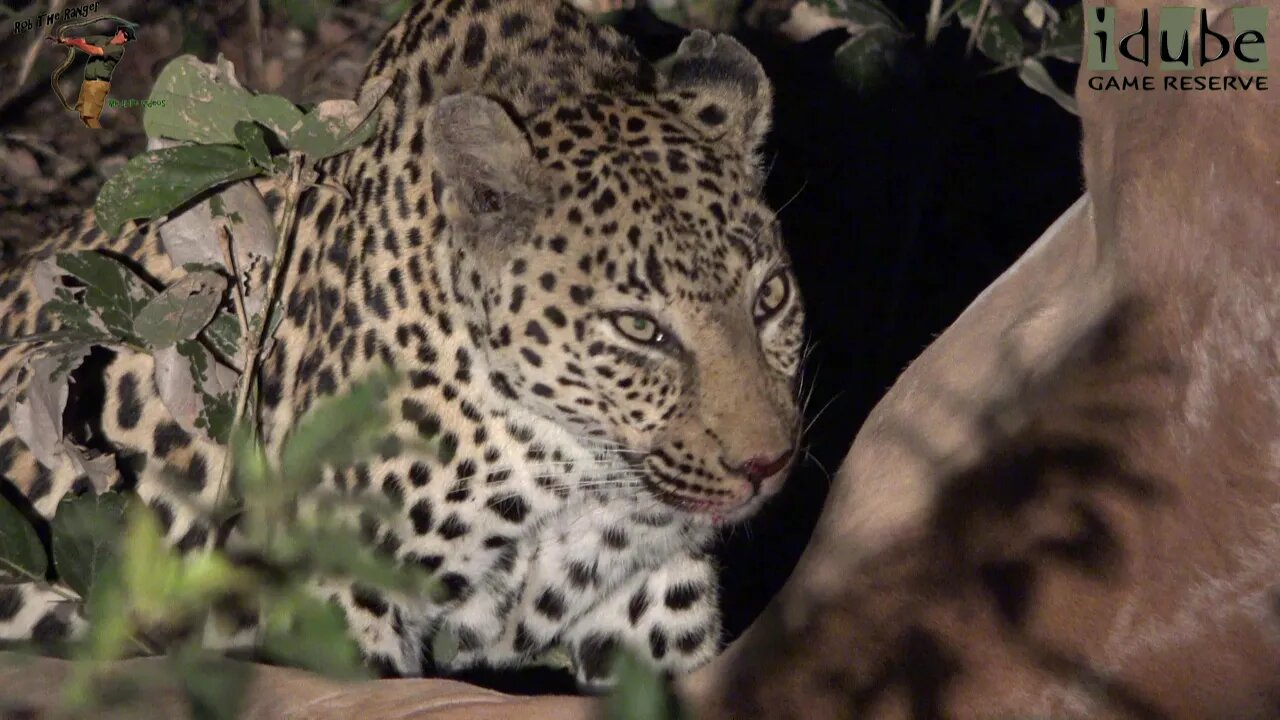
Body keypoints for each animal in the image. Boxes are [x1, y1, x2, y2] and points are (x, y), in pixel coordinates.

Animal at [0, 0, 803, 686]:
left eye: (770, 299)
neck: (569, 464)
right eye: (639, 328)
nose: (767, 465)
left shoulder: (648, 603)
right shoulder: (339, 594)